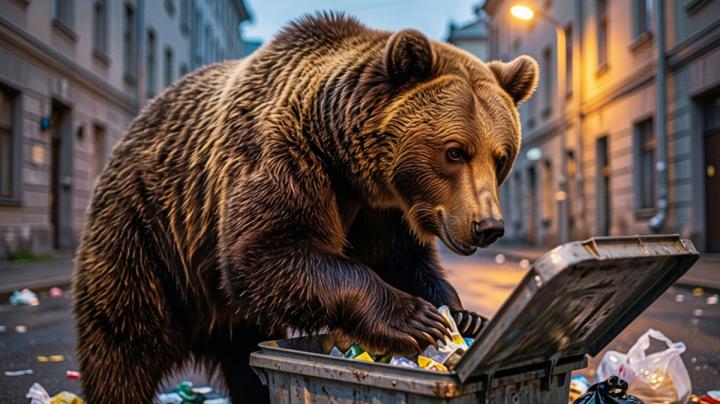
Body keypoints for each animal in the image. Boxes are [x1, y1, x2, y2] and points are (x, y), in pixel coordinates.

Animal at [73, 13, 538, 403]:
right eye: (455, 151)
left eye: (501, 157)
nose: (487, 226)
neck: (348, 162)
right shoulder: (283, 156)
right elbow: (267, 251)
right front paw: (416, 319)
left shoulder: (384, 210)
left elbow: (404, 261)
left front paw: (465, 317)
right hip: (147, 235)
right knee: (123, 342)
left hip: (227, 309)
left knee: (245, 361)